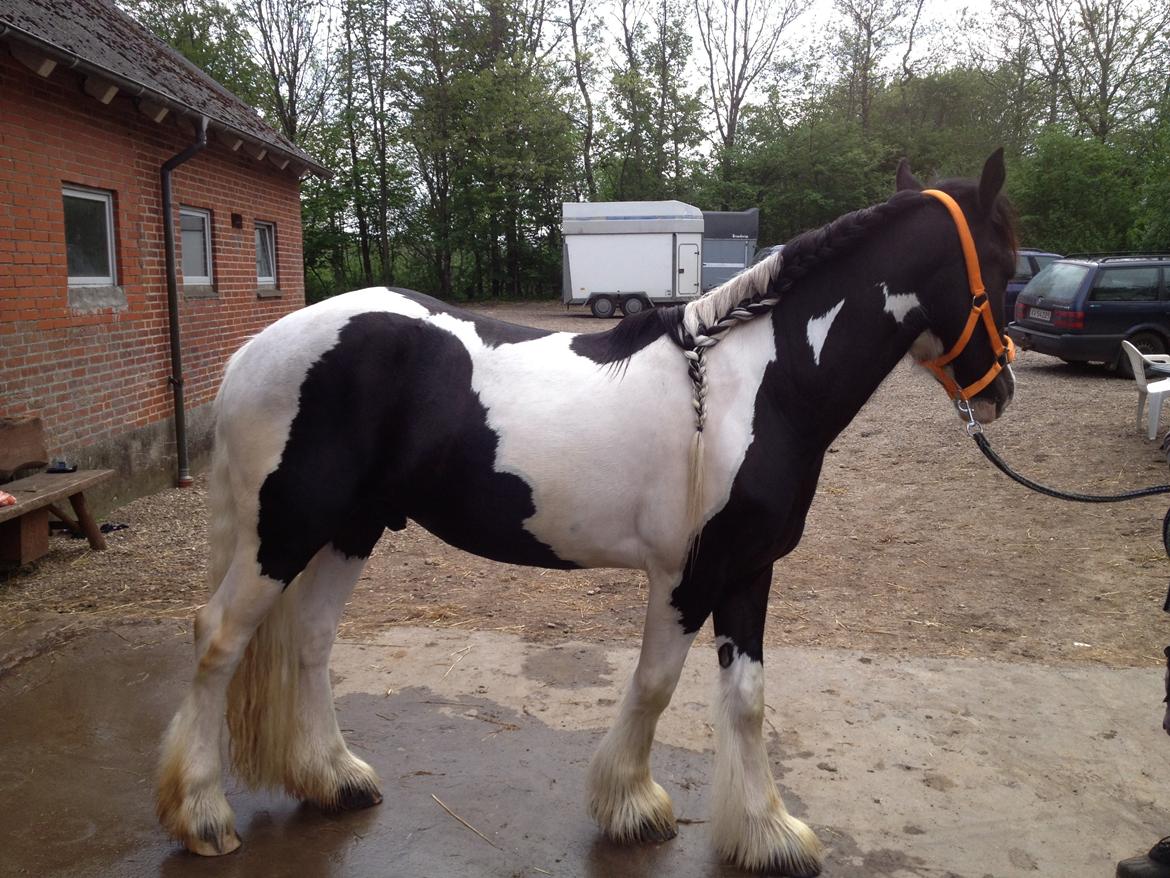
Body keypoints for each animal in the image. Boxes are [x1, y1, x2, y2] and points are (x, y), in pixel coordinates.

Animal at [155, 153, 1015, 878]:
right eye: (1006, 265)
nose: (1000, 391)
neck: (755, 387)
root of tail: (254, 350)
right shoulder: (687, 574)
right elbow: (656, 684)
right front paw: (631, 805)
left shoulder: (749, 569)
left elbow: (747, 698)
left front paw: (768, 834)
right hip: (283, 532)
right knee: (218, 638)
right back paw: (202, 815)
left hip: (350, 529)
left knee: (309, 640)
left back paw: (335, 779)